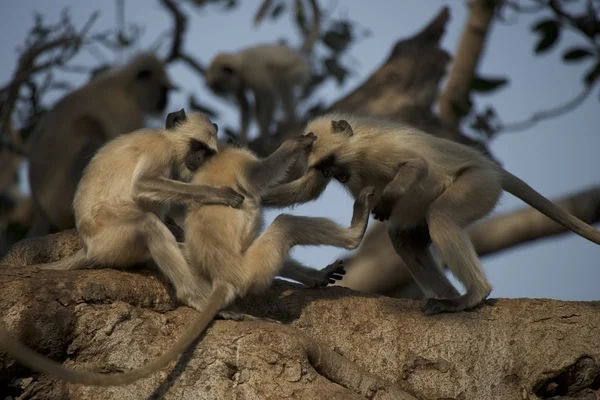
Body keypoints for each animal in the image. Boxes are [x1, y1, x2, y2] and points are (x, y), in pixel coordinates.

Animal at [205, 0, 322, 144]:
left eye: (220, 87)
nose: (219, 93)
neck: (240, 63)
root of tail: (297, 55)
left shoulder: (251, 70)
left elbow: (269, 95)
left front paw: (264, 135)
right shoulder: (240, 82)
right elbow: (245, 105)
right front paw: (242, 138)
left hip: (298, 69)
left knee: (280, 79)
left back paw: (291, 122)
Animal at [260, 112, 600, 316]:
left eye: (332, 163)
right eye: (325, 169)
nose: (336, 175)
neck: (358, 148)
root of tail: (489, 167)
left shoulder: (376, 148)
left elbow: (417, 165)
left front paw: (384, 200)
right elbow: (307, 192)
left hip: (477, 185)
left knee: (441, 217)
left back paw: (472, 296)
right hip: (426, 206)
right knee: (404, 238)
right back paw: (448, 296)